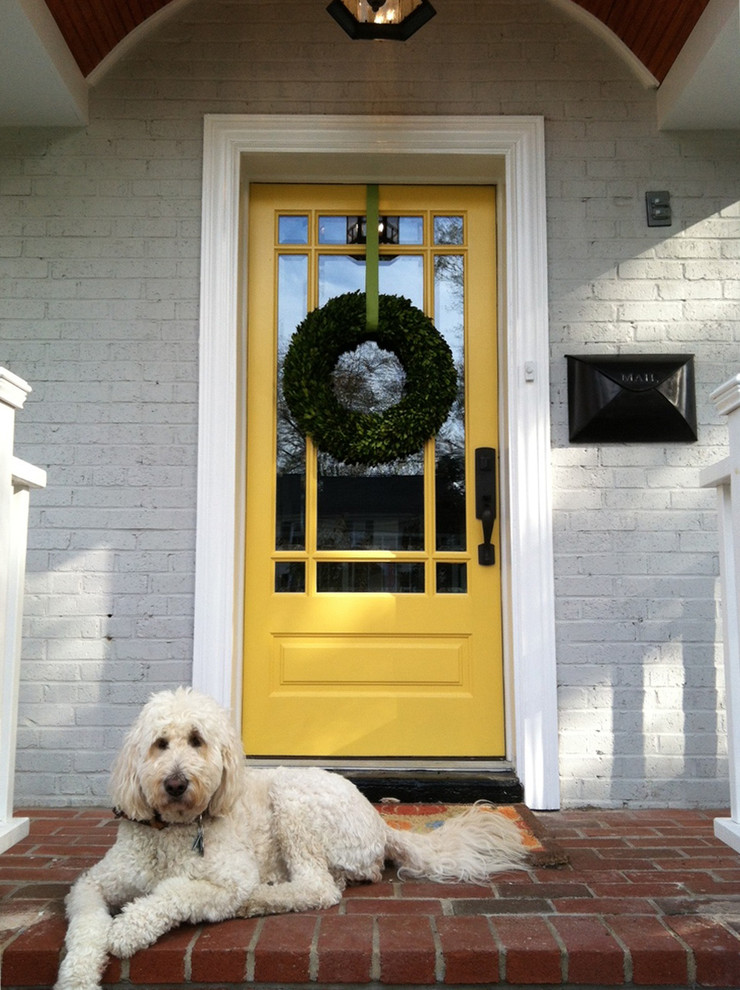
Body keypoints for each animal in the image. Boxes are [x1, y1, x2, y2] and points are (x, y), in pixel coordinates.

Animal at [55, 688, 528, 990]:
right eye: (159, 743)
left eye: (197, 740)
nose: (175, 783)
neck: (173, 830)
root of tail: (379, 821)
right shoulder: (93, 883)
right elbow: (85, 925)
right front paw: (77, 976)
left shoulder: (229, 877)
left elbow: (175, 893)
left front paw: (128, 928)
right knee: (331, 883)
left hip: (294, 800)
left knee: (318, 889)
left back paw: (256, 900)